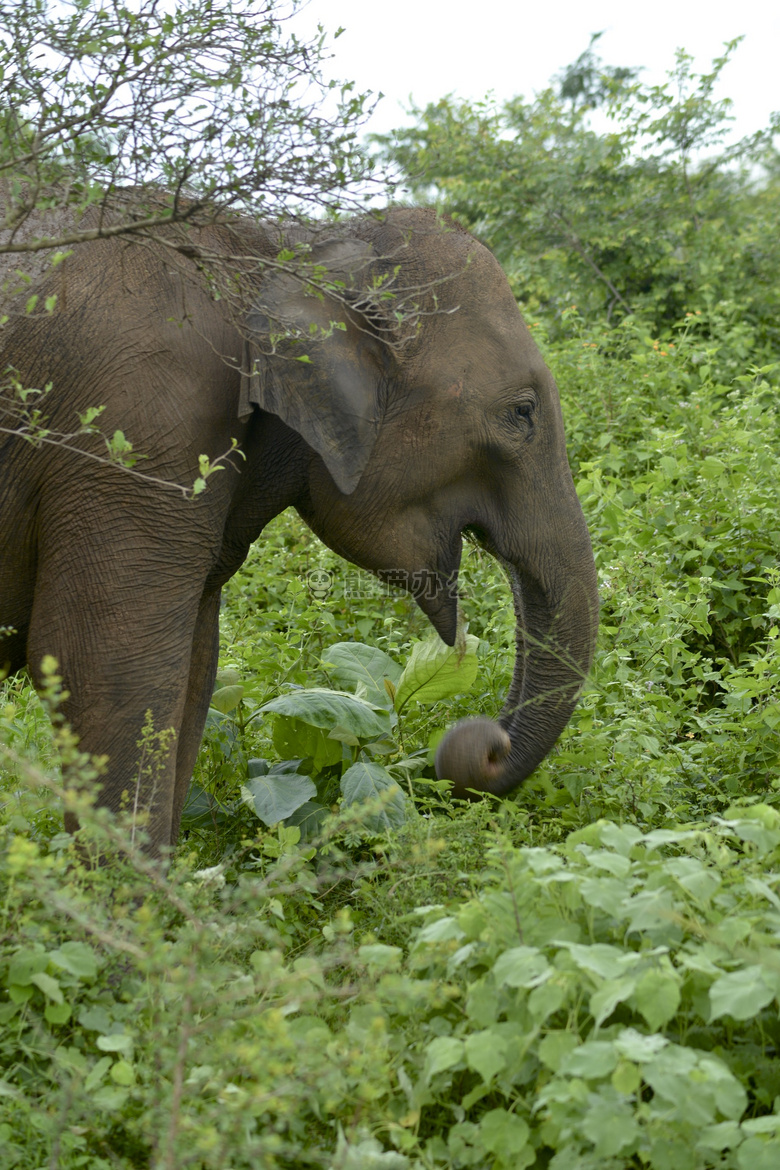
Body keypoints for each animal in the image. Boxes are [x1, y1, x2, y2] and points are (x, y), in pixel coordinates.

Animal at [0, 208, 598, 851]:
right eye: (522, 412)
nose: (486, 741)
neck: (284, 246)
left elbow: (196, 665)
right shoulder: (135, 425)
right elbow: (105, 662)